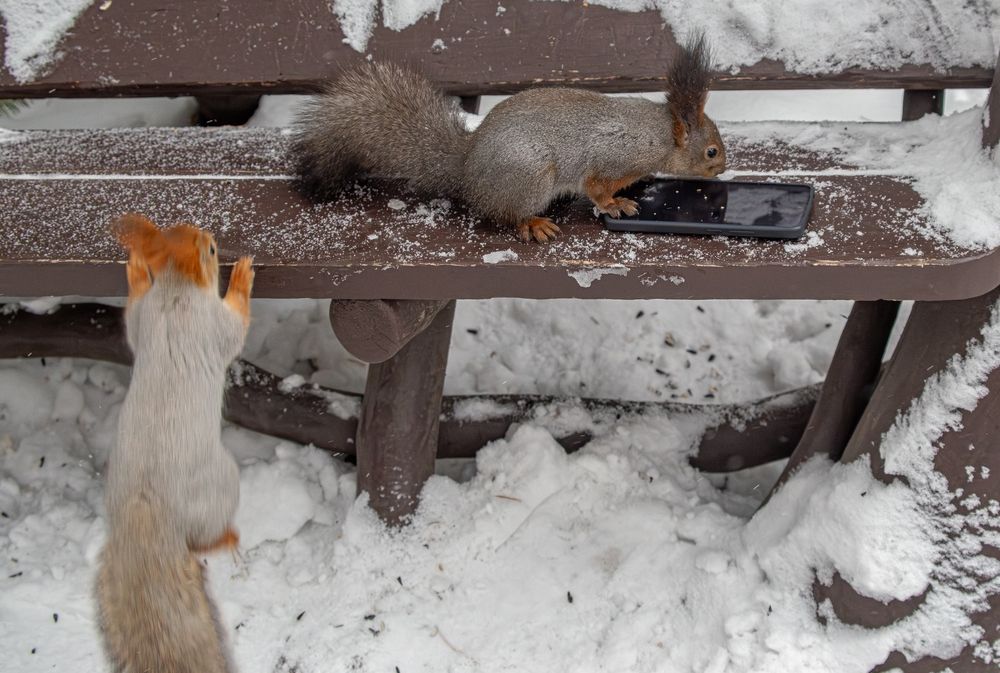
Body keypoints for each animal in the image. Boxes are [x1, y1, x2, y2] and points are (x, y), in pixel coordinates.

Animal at [95, 213, 254, 673]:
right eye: (212, 250)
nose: (210, 234)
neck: (174, 294)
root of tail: (148, 517)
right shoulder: (212, 323)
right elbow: (236, 328)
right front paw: (243, 276)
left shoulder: (146, 316)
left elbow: (132, 318)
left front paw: (135, 271)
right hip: (220, 482)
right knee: (205, 538)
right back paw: (228, 538)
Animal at [294, 34, 726, 243]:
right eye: (711, 151)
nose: (723, 168)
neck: (659, 134)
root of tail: (467, 170)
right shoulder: (615, 155)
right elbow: (596, 186)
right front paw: (615, 204)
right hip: (530, 177)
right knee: (503, 215)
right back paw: (532, 223)